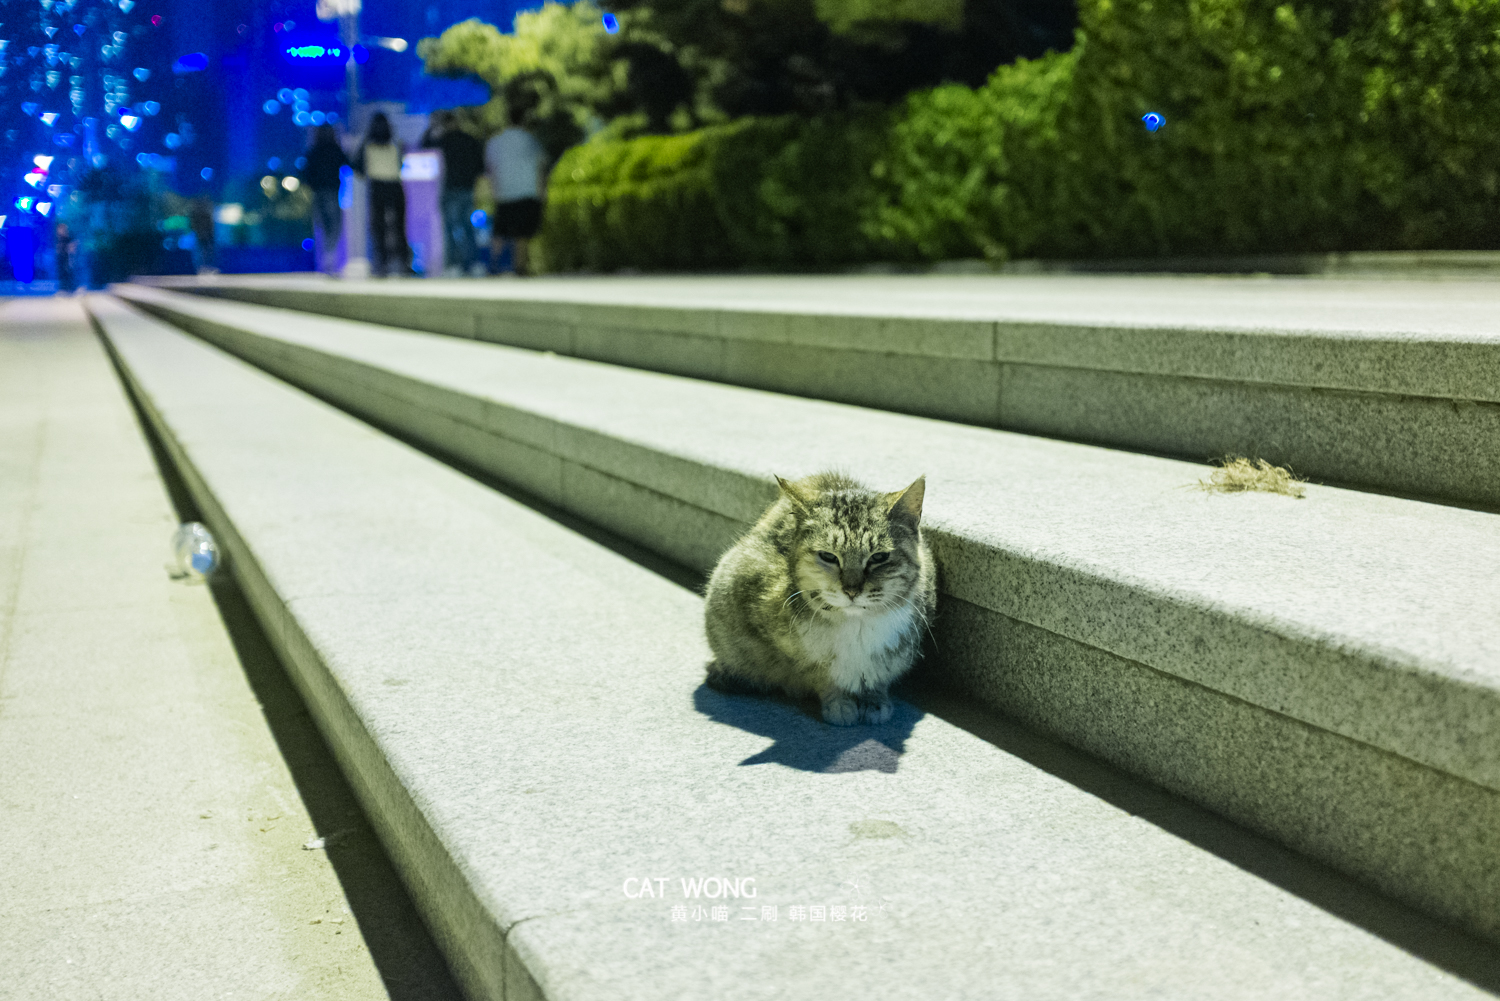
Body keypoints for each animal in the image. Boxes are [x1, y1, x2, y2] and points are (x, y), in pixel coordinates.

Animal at [705, 474, 936, 723]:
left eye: (879, 557)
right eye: (828, 556)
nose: (851, 590)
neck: (856, 624)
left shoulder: (901, 650)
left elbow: (879, 674)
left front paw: (874, 698)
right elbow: (820, 674)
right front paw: (839, 702)